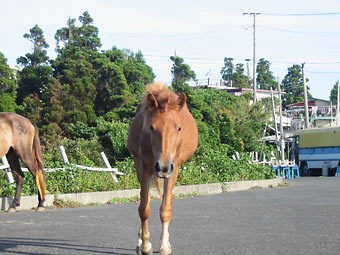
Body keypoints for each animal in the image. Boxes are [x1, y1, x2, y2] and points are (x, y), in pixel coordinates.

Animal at [127, 82, 198, 254]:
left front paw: (164, 246)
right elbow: (144, 208)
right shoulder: (143, 167)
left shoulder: (174, 168)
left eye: (179, 128)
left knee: (168, 198)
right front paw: (145, 245)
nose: (163, 167)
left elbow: (165, 209)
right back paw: (140, 241)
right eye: (152, 127)